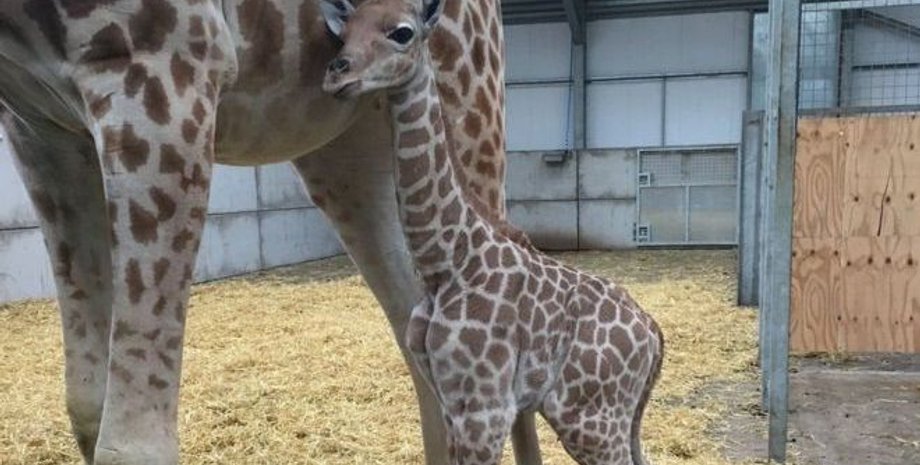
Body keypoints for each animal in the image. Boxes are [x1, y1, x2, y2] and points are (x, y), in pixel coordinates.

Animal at [0, 0, 543, 463]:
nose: (339, 69)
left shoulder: (160, 73)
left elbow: (133, 442)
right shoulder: (39, 123)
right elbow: (87, 404)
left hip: (466, 87)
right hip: (345, 144)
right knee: (417, 326)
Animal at [320, 0, 666, 463]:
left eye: (402, 32)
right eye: (344, 33)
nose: (337, 75)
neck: (445, 262)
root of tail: (654, 336)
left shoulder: (484, 409)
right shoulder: (451, 402)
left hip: (590, 418)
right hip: (617, 418)